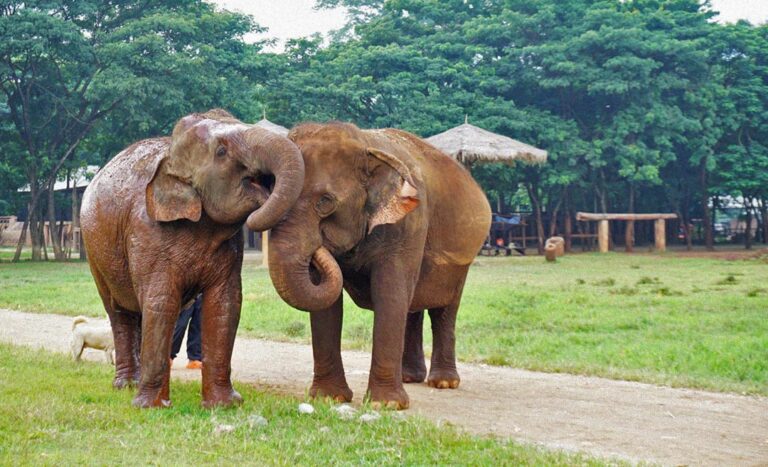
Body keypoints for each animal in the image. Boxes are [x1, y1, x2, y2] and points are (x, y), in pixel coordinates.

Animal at [80, 109, 304, 408]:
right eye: (222, 151)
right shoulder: (147, 232)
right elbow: (161, 302)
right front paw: (149, 407)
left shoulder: (231, 249)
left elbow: (225, 304)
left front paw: (225, 405)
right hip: (95, 251)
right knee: (120, 312)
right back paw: (126, 386)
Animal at [267, 122, 491, 409]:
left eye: (325, 201)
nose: (319, 247)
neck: (365, 144)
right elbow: (326, 304)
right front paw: (330, 398)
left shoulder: (408, 224)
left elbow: (390, 293)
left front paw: (386, 405)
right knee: (412, 306)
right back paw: (409, 377)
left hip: (461, 262)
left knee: (444, 310)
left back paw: (443, 382)